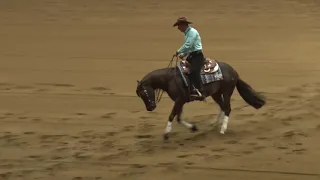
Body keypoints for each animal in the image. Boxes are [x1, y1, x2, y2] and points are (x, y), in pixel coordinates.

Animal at [135, 56, 264, 141]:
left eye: (144, 93)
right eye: (140, 95)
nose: (150, 107)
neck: (170, 79)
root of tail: (234, 72)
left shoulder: (179, 100)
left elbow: (172, 116)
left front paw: (166, 134)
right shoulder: (181, 101)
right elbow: (179, 118)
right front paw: (193, 128)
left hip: (227, 92)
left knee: (227, 108)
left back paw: (222, 129)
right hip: (216, 93)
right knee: (222, 107)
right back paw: (214, 124)